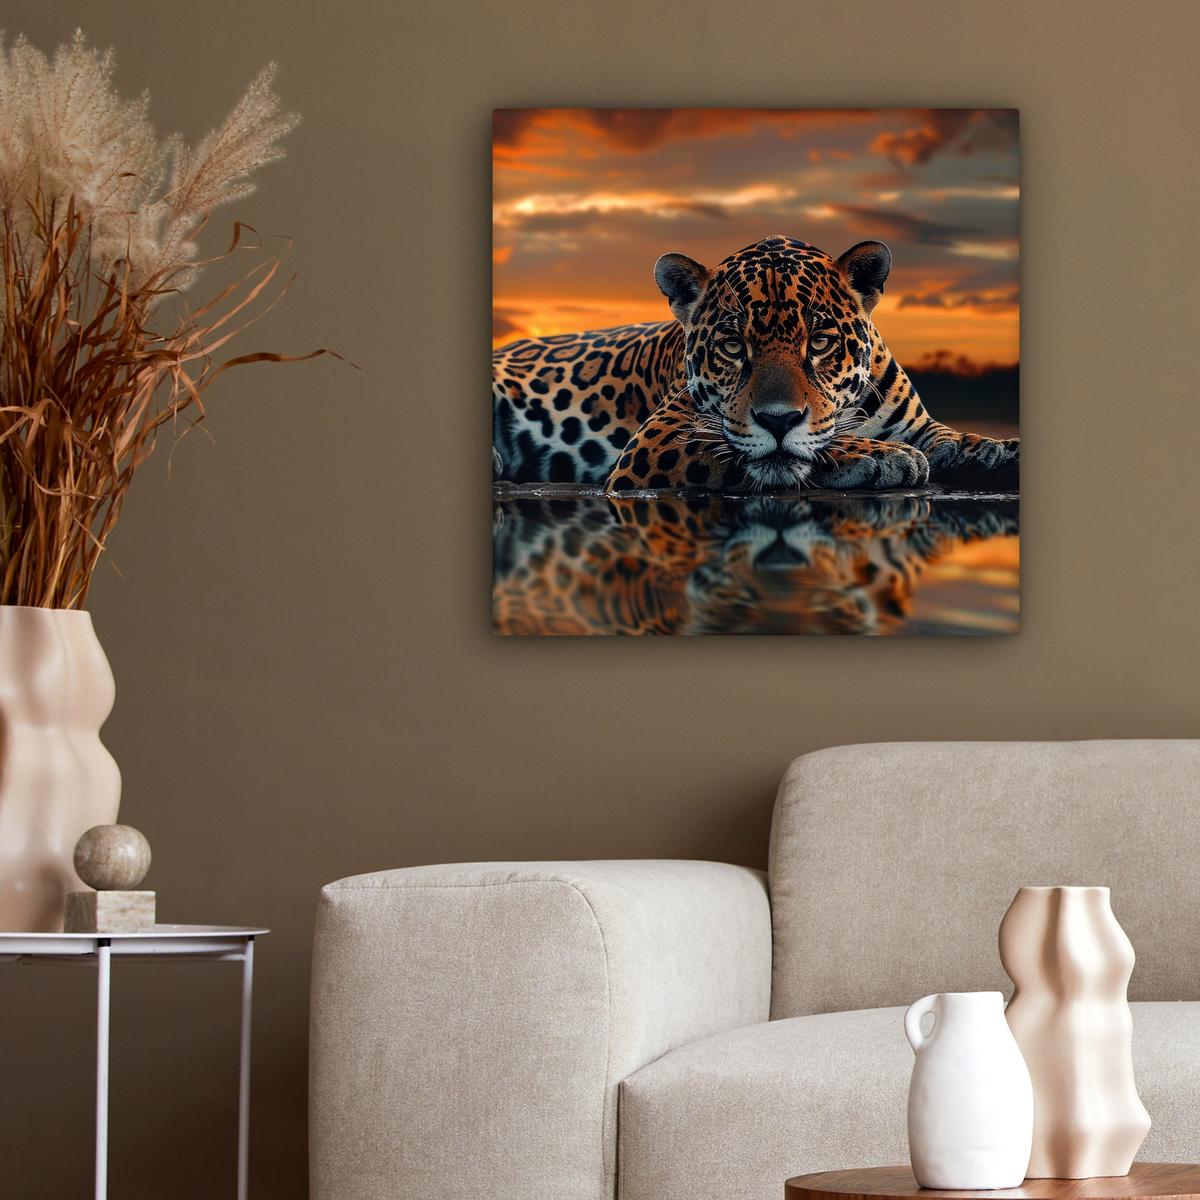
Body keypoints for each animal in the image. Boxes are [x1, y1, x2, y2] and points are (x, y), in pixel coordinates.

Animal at [492, 235, 1018, 492]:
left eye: (820, 341)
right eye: (732, 346)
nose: (778, 420)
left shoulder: (919, 425)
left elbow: (953, 437)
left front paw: (998, 450)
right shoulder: (657, 440)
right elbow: (781, 451)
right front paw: (882, 456)